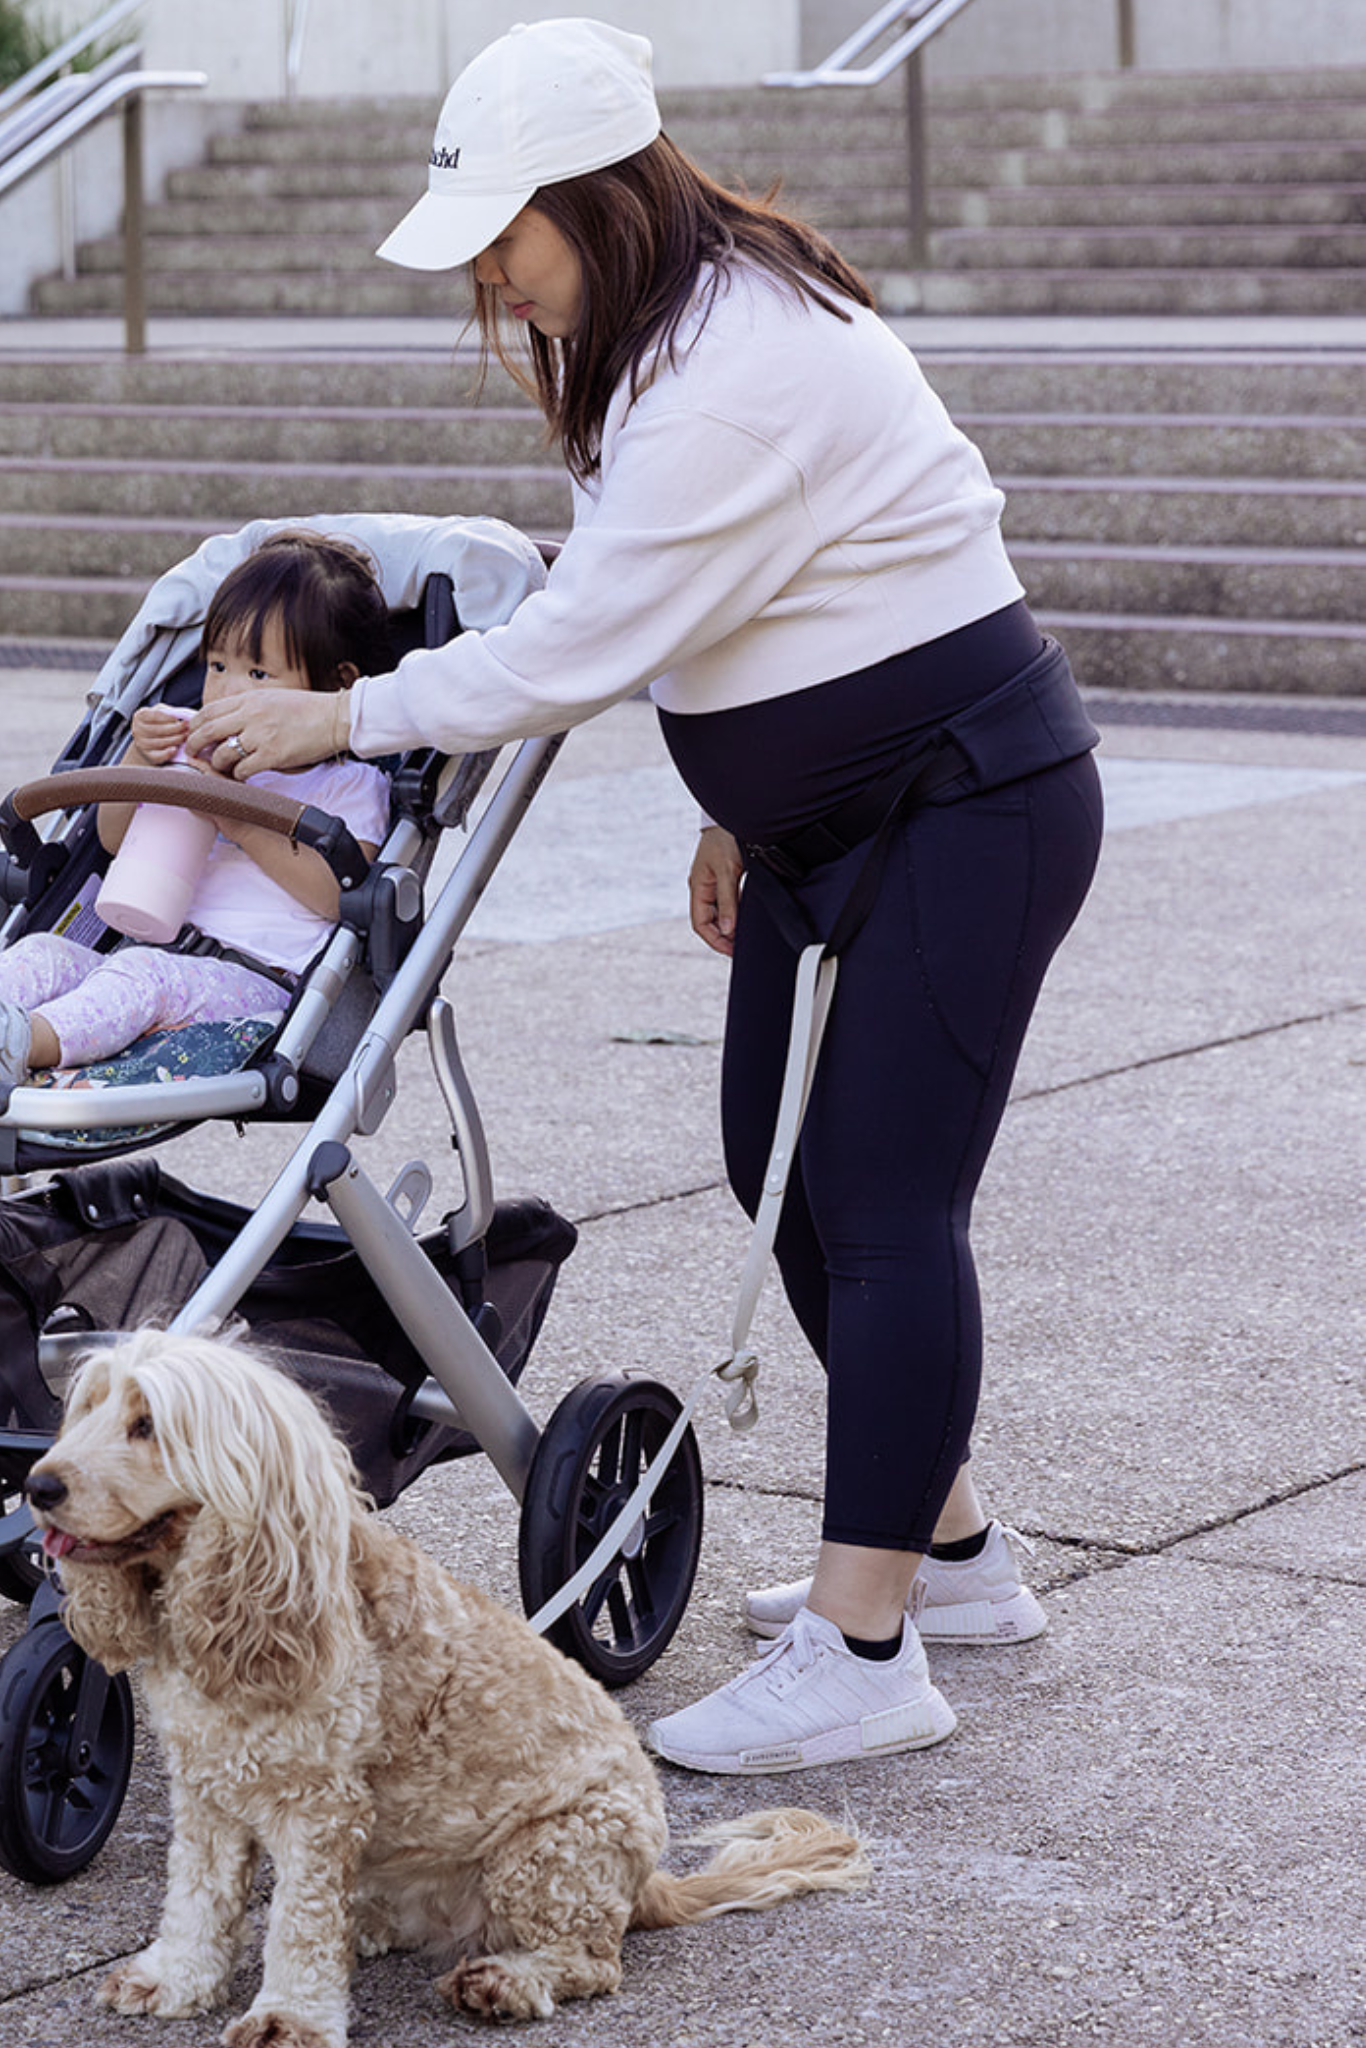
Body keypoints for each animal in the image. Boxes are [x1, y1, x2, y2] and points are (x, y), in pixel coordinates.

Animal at [24, 1327, 864, 2048]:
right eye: (87, 1409)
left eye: (146, 1426)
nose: (36, 1484)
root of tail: (649, 1882)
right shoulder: (206, 1794)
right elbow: (198, 1899)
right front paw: (175, 1981)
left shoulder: (319, 1808)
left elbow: (299, 1921)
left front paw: (289, 2017)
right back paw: (373, 1928)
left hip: (546, 1848)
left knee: (594, 1960)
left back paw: (503, 1982)